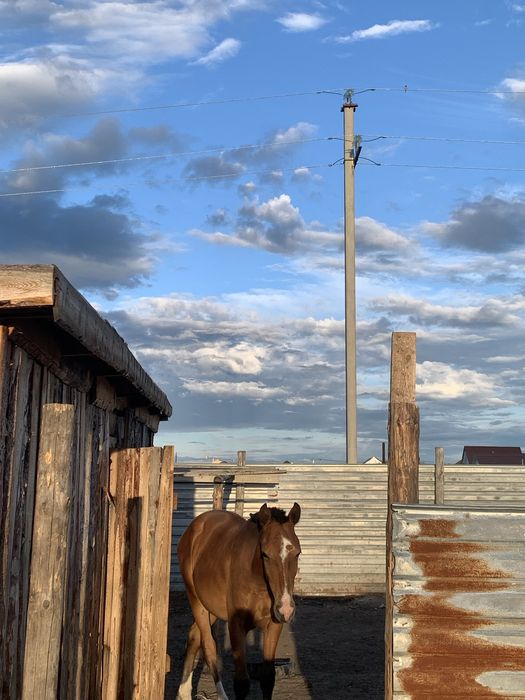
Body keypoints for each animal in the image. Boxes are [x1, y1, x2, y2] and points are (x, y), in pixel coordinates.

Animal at [176, 502, 301, 700]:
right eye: (265, 554)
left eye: (297, 553)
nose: (286, 608)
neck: (258, 582)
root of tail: (194, 528)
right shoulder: (236, 625)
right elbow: (241, 683)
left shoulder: (274, 625)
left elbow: (268, 678)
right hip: (197, 602)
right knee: (208, 646)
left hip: (212, 608)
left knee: (194, 635)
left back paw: (184, 692)